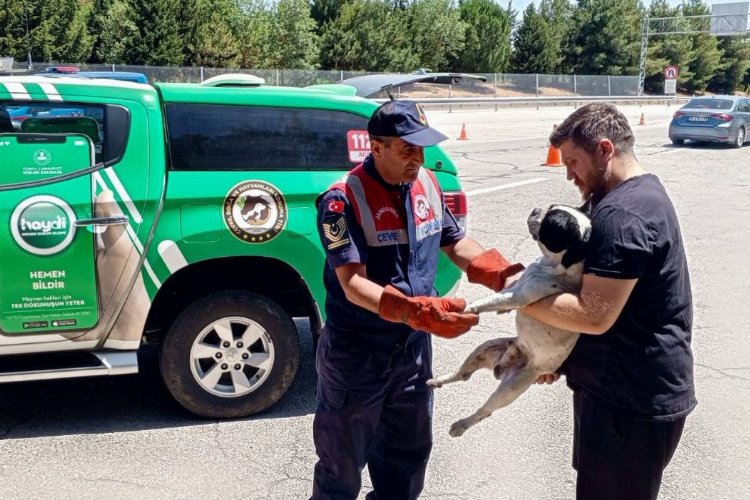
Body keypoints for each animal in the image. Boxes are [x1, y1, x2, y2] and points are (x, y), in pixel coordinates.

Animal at [428, 205, 592, 436]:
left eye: (551, 222)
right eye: (551, 208)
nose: (537, 209)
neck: (551, 265)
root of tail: (502, 366)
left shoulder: (519, 296)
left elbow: (490, 300)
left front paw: (467, 308)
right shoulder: (516, 286)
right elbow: (503, 292)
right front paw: (500, 310)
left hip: (510, 389)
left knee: (485, 411)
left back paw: (461, 425)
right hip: (485, 348)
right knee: (463, 374)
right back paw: (439, 380)